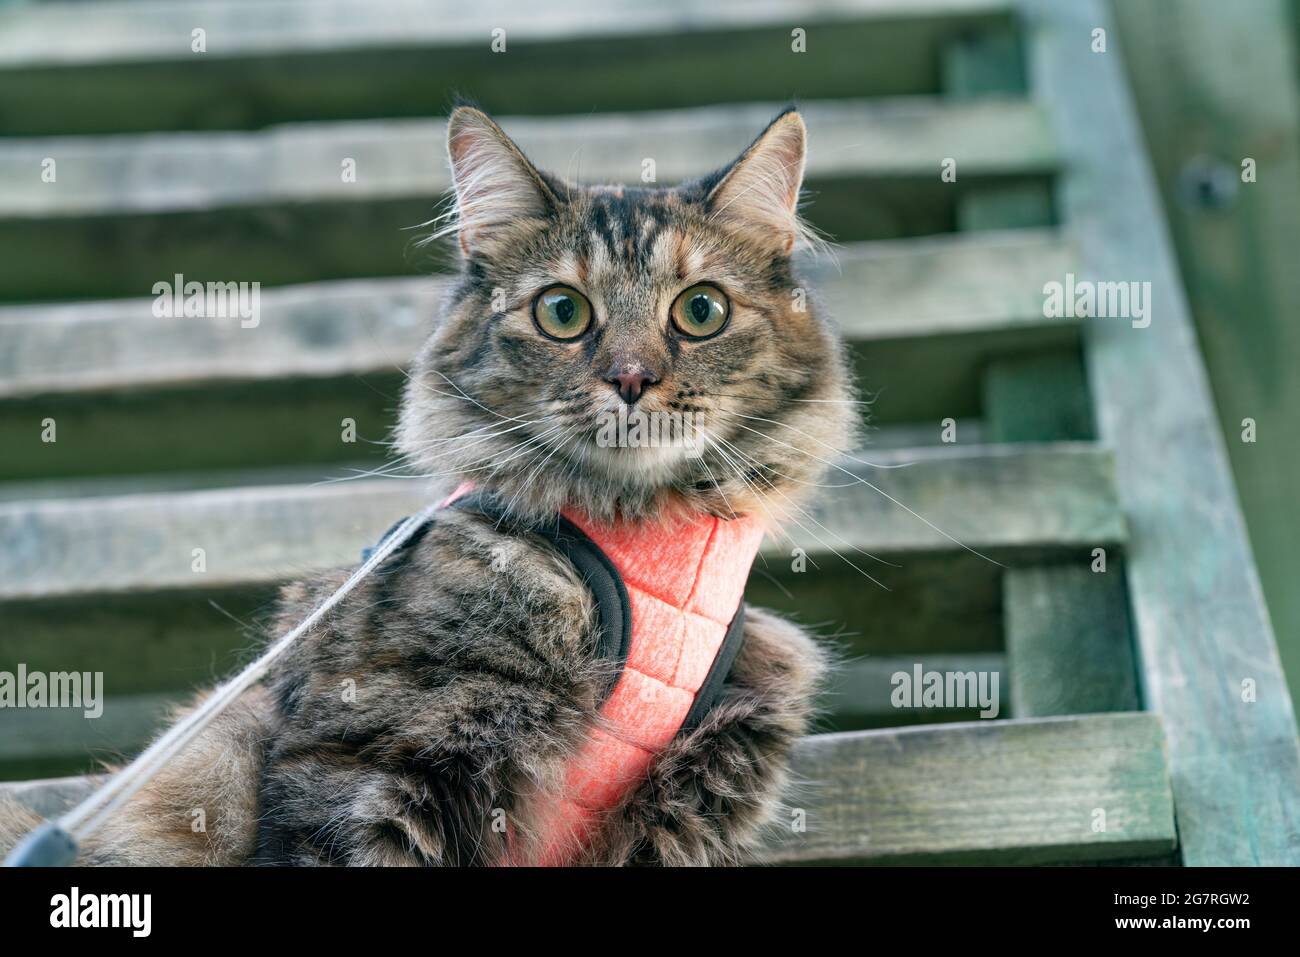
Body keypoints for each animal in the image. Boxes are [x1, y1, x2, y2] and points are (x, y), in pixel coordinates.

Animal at [0, 104, 857, 868]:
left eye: (701, 310)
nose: (632, 379)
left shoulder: (694, 791)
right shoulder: (377, 761)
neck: (649, 546)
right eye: (563, 311)